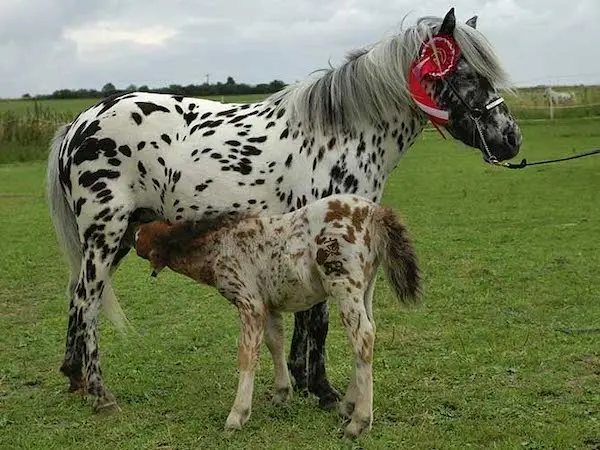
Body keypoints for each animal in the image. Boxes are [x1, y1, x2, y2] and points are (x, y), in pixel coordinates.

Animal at [47, 7, 520, 414]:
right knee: (87, 301)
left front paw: (304, 381)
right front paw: (324, 390)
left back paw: (76, 377)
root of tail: (79, 124)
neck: (339, 135)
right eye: (465, 73)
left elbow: (306, 316)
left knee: (76, 295)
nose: (510, 139)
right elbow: (319, 319)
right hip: (105, 234)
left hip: (120, 237)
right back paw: (101, 395)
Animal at [134, 194, 420, 440]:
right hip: (365, 288)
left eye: (144, 232)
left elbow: (247, 353)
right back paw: (347, 405)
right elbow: (275, 342)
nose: (134, 235)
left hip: (343, 285)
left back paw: (358, 422)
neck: (221, 245)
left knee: (362, 337)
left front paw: (237, 415)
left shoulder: (250, 303)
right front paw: (282, 394)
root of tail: (374, 212)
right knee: (367, 335)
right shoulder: (268, 304)